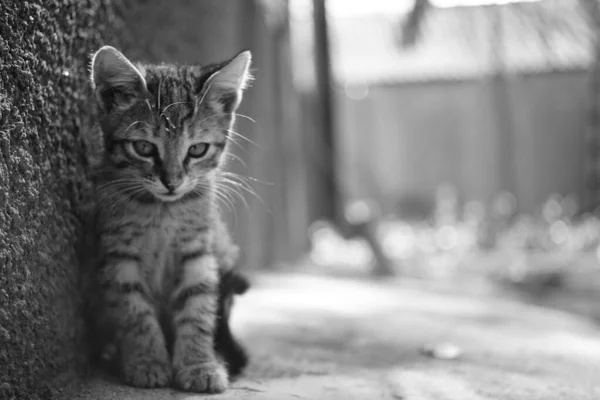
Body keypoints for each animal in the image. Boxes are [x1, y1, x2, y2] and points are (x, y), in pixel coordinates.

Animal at [83, 45, 252, 392]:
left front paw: (199, 365)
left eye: (197, 149)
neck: (163, 211)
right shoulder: (119, 256)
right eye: (144, 147)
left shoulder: (197, 251)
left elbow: (198, 308)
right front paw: (147, 361)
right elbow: (134, 311)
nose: (172, 182)